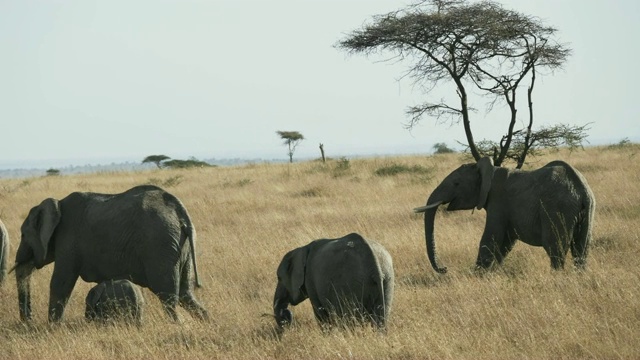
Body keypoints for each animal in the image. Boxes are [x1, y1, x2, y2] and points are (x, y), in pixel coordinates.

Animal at [14, 184, 210, 322]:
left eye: (23, 235)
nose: (28, 321)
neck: (58, 204)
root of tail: (178, 210)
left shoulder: (68, 239)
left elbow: (61, 282)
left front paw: (52, 328)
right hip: (179, 246)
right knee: (186, 293)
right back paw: (207, 322)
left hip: (161, 244)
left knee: (168, 297)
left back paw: (179, 326)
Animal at [416, 158, 596, 272]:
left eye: (456, 183)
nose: (445, 268)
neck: (490, 170)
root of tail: (581, 189)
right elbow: (505, 243)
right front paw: (491, 273)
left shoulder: (498, 202)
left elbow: (491, 237)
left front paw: (477, 275)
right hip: (587, 211)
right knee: (581, 250)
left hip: (556, 209)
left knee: (555, 249)